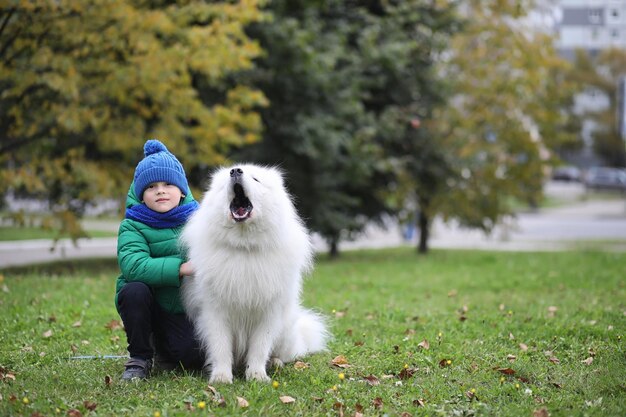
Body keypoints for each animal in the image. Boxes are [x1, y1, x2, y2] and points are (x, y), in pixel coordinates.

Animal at [179, 163, 326, 384]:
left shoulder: (268, 313)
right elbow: (221, 347)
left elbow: (260, 347)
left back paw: (275, 363)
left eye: (256, 179)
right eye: (226, 180)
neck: (244, 247)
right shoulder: (215, 312)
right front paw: (221, 377)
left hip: (285, 331)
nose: (235, 171)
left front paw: (257, 376)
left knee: (282, 354)